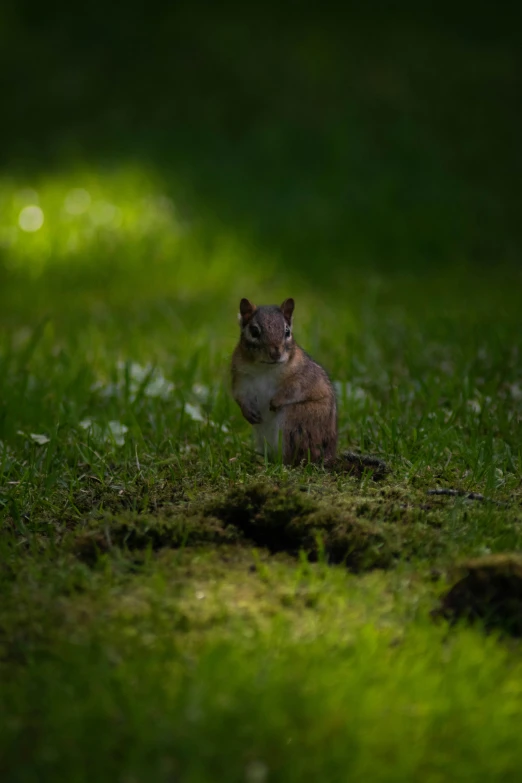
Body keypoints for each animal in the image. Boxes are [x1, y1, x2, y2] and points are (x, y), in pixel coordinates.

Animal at [230, 298, 336, 462]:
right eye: (254, 331)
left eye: (287, 331)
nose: (276, 353)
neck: (264, 368)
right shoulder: (240, 378)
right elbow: (239, 395)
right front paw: (248, 412)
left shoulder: (303, 377)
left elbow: (294, 390)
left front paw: (276, 401)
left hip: (297, 420)